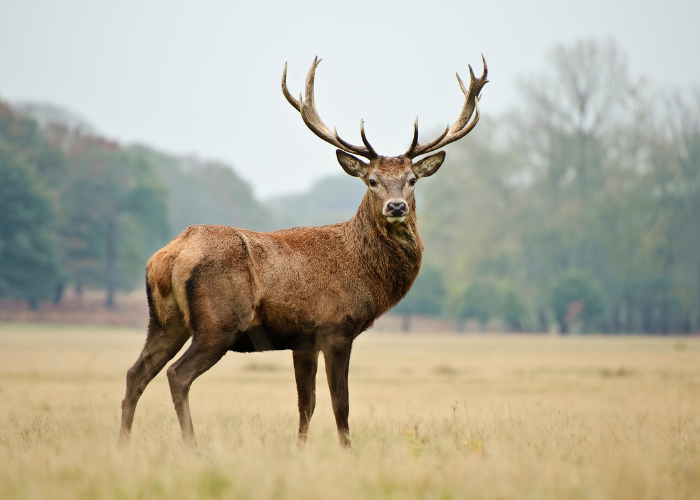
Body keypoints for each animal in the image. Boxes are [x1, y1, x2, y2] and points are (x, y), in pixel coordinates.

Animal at [119, 55, 486, 450]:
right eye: (371, 181)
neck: (363, 271)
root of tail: (168, 256)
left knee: (136, 373)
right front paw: (346, 450)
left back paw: (122, 443)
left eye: (412, 180)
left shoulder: (303, 340)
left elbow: (305, 403)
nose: (396, 206)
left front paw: (300, 449)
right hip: (219, 322)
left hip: (165, 320)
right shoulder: (336, 327)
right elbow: (341, 403)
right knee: (177, 374)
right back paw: (192, 447)